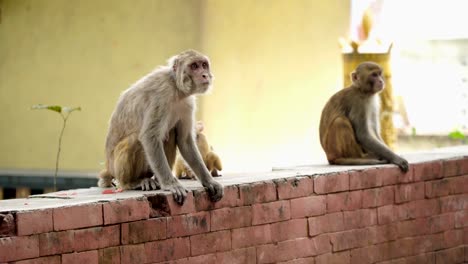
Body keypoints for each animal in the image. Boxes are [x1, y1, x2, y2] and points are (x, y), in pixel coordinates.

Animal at [98, 49, 224, 204]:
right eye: (194, 66)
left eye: (204, 65)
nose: (205, 74)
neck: (177, 88)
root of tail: (108, 167)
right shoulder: (161, 95)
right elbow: (149, 137)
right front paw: (170, 184)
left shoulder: (187, 104)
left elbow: (185, 141)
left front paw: (208, 181)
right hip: (116, 168)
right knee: (135, 140)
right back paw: (132, 182)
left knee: (170, 134)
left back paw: (154, 179)